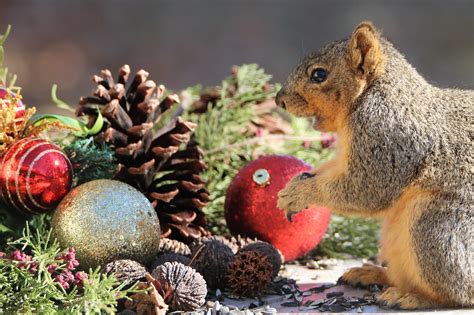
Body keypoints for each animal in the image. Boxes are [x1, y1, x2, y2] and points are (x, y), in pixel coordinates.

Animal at [276, 22, 472, 312]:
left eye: (319, 75)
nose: (279, 100)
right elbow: (332, 170)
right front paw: (294, 184)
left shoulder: (387, 137)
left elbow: (367, 190)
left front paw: (301, 194)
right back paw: (372, 274)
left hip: (435, 227)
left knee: (459, 291)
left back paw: (413, 297)